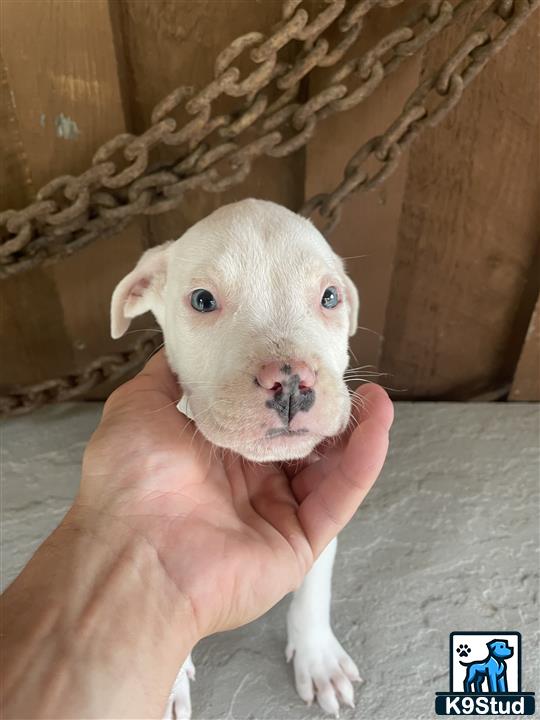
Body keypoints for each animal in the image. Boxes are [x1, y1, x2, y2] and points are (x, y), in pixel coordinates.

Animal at [111, 198, 360, 720]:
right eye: (203, 301)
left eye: (330, 297)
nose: (291, 382)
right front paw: (166, 685)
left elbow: (315, 584)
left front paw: (317, 657)